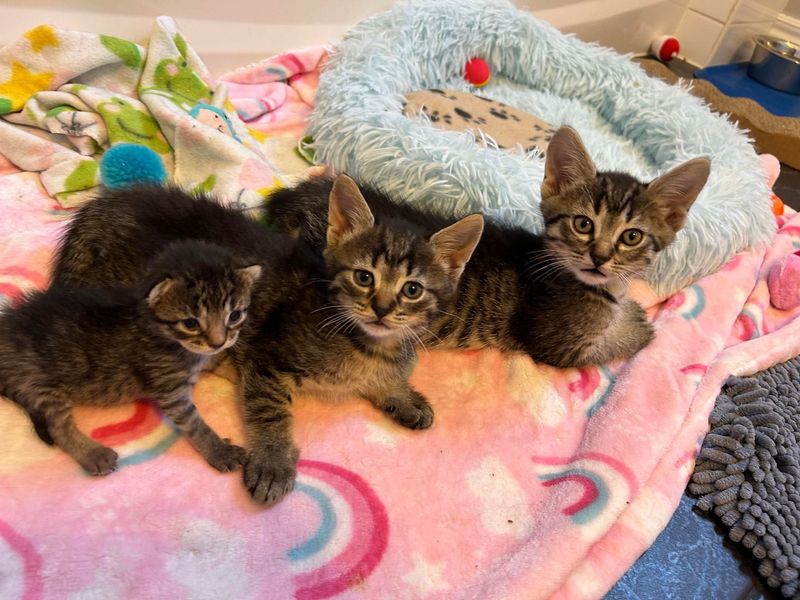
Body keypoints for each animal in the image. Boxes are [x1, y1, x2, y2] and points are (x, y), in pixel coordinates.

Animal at [0, 241, 260, 476]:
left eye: (235, 315)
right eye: (190, 323)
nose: (218, 342)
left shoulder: (211, 356)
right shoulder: (170, 390)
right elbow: (195, 423)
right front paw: (220, 451)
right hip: (40, 382)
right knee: (57, 426)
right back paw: (93, 454)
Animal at [268, 126, 712, 366]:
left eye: (631, 236)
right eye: (583, 224)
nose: (600, 258)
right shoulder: (558, 347)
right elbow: (627, 339)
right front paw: (640, 321)